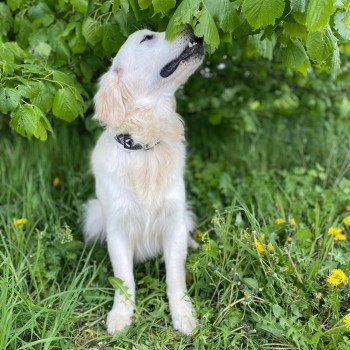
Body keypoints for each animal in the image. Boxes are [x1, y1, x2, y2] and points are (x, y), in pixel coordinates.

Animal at [83, 26, 204, 334]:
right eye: (147, 38)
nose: (190, 26)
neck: (145, 146)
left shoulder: (173, 223)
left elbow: (175, 277)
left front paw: (183, 314)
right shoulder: (118, 231)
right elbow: (124, 279)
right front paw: (121, 316)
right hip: (95, 213)